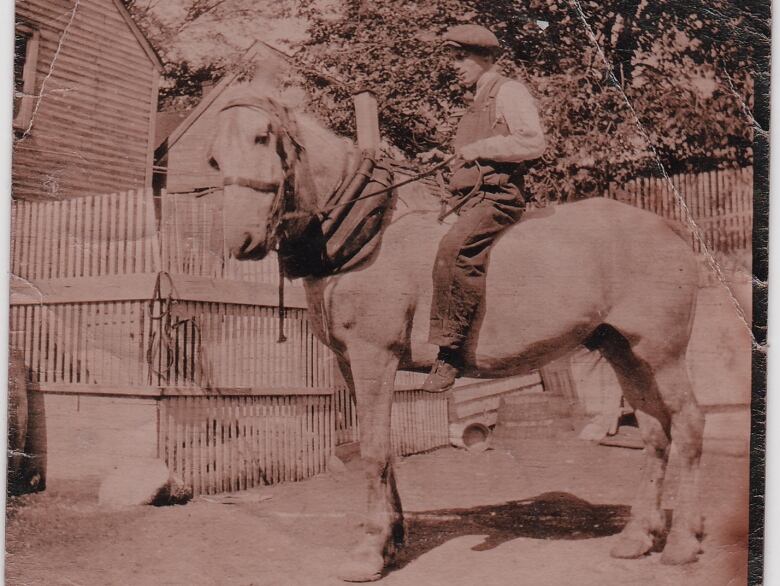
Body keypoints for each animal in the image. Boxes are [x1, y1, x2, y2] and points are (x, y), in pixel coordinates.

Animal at [210, 92, 704, 580]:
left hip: (662, 354)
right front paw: (392, 541)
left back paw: (683, 542)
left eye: (262, 137)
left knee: (689, 424)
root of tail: (670, 228)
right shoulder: (350, 363)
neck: (369, 236)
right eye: (214, 158)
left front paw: (369, 551)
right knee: (655, 433)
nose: (241, 240)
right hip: (625, 351)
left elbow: (373, 451)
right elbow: (385, 447)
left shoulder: (374, 357)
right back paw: (638, 537)